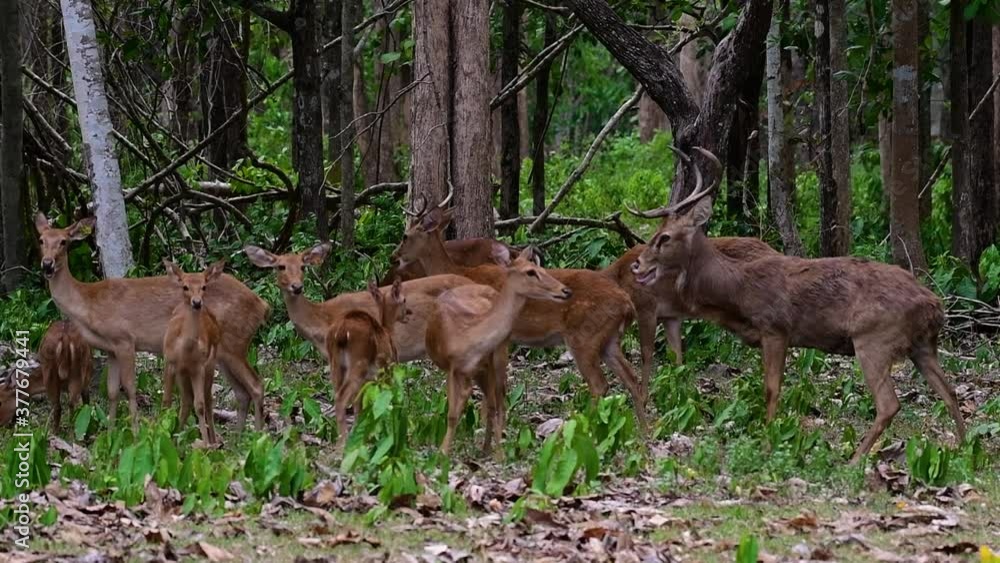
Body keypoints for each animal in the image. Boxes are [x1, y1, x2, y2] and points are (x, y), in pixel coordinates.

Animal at [162, 260, 226, 445]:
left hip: (210, 364)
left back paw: (213, 440)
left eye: (204, 286)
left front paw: (205, 444)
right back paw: (178, 434)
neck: (185, 351)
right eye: (185, 286)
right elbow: (167, 400)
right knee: (186, 400)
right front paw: (160, 431)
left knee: (207, 401)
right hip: (183, 374)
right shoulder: (170, 362)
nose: (197, 302)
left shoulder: (198, 367)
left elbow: (200, 405)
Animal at [326, 278, 407, 449]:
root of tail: (342, 331)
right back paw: (342, 443)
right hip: (358, 363)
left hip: (335, 364)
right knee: (341, 397)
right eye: (404, 300)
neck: (388, 332)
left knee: (337, 393)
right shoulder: (387, 372)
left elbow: (359, 405)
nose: (409, 313)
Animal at [392, 196, 648, 430]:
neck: (459, 272)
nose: (394, 256)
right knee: (632, 380)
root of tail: (626, 303)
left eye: (405, 235)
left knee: (599, 385)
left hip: (584, 337)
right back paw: (644, 431)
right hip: (608, 339)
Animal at [426, 247, 572, 456]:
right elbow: (453, 413)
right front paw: (443, 452)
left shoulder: (481, 365)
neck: (466, 336)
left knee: (498, 400)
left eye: (542, 268)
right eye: (530, 271)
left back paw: (492, 449)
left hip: (500, 355)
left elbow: (487, 406)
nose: (566, 290)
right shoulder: (452, 367)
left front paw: (498, 454)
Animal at [628, 147, 966, 463]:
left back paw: (855, 458)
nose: (637, 264)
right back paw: (963, 450)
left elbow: (771, 389)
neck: (737, 290)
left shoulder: (775, 328)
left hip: (874, 339)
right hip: (921, 345)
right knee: (949, 392)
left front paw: (767, 442)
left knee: (889, 403)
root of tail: (934, 305)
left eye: (664, 237)